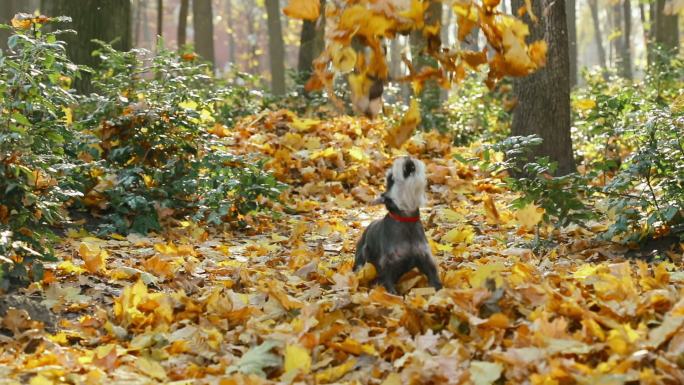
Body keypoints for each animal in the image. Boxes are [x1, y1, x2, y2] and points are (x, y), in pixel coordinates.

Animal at [352, 156, 444, 294]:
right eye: (391, 178)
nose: (407, 158)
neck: (406, 220)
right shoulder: (387, 265)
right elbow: (388, 284)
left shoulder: (425, 258)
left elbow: (434, 277)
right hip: (362, 259)